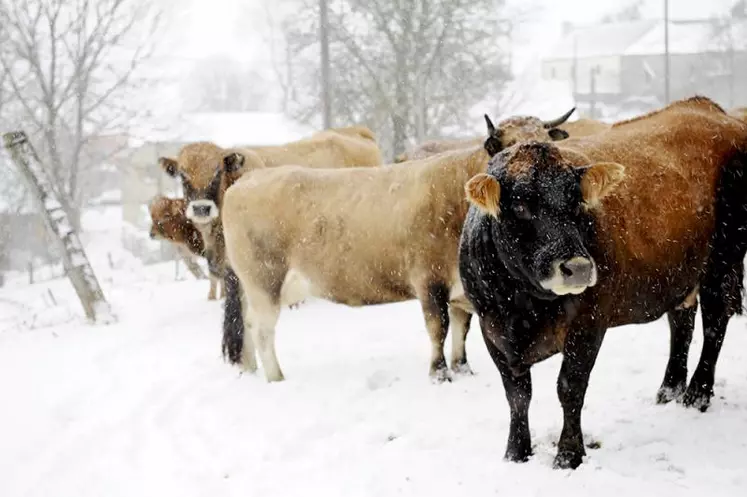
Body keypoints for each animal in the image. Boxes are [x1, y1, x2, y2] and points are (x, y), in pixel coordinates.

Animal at [458, 96, 747, 468]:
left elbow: (569, 387)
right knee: (681, 322)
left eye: (577, 201)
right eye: (520, 206)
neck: (524, 302)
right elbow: (517, 394)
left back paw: (697, 393)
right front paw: (516, 452)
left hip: (723, 261)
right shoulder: (491, 327)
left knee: (714, 323)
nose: (578, 267)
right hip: (683, 271)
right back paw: (670, 388)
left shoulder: (589, 322)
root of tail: (709, 110)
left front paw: (568, 455)